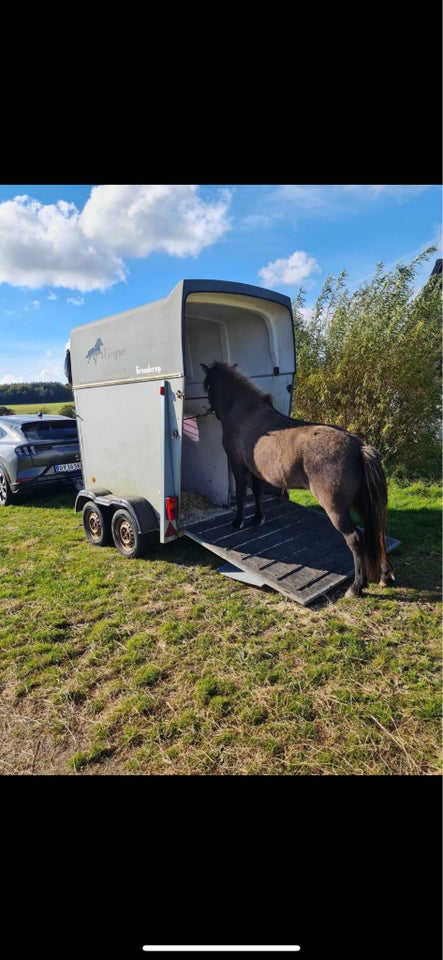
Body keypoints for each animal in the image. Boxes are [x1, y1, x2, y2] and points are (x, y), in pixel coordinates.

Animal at [201, 364, 396, 596]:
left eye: (207, 385)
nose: (211, 411)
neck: (245, 414)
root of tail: (358, 446)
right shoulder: (255, 471)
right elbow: (257, 492)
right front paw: (257, 518)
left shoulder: (238, 466)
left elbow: (240, 495)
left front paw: (237, 522)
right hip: (362, 503)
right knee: (377, 533)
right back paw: (384, 577)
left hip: (337, 510)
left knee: (356, 539)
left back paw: (356, 587)